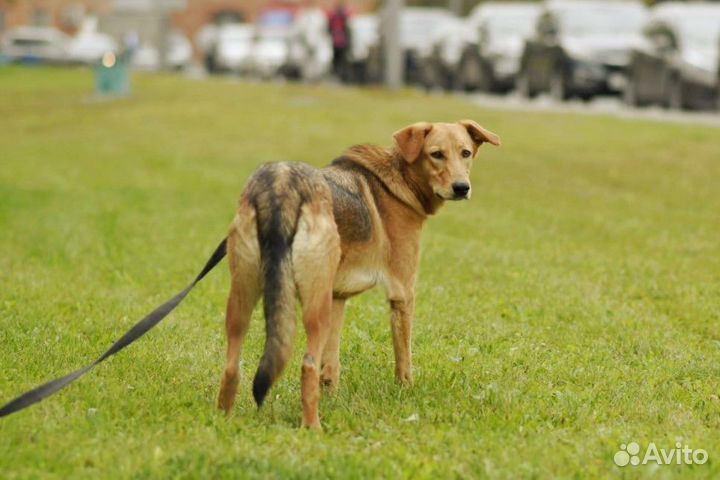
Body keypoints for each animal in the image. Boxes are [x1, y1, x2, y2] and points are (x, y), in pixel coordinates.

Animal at [215, 121, 500, 432]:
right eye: (436, 154)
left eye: (466, 153)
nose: (462, 188)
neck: (399, 180)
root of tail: (283, 189)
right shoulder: (403, 293)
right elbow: (404, 360)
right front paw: (406, 393)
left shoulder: (337, 298)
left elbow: (331, 366)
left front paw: (333, 397)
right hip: (313, 309)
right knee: (307, 365)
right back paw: (313, 427)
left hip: (243, 302)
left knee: (232, 366)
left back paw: (224, 420)